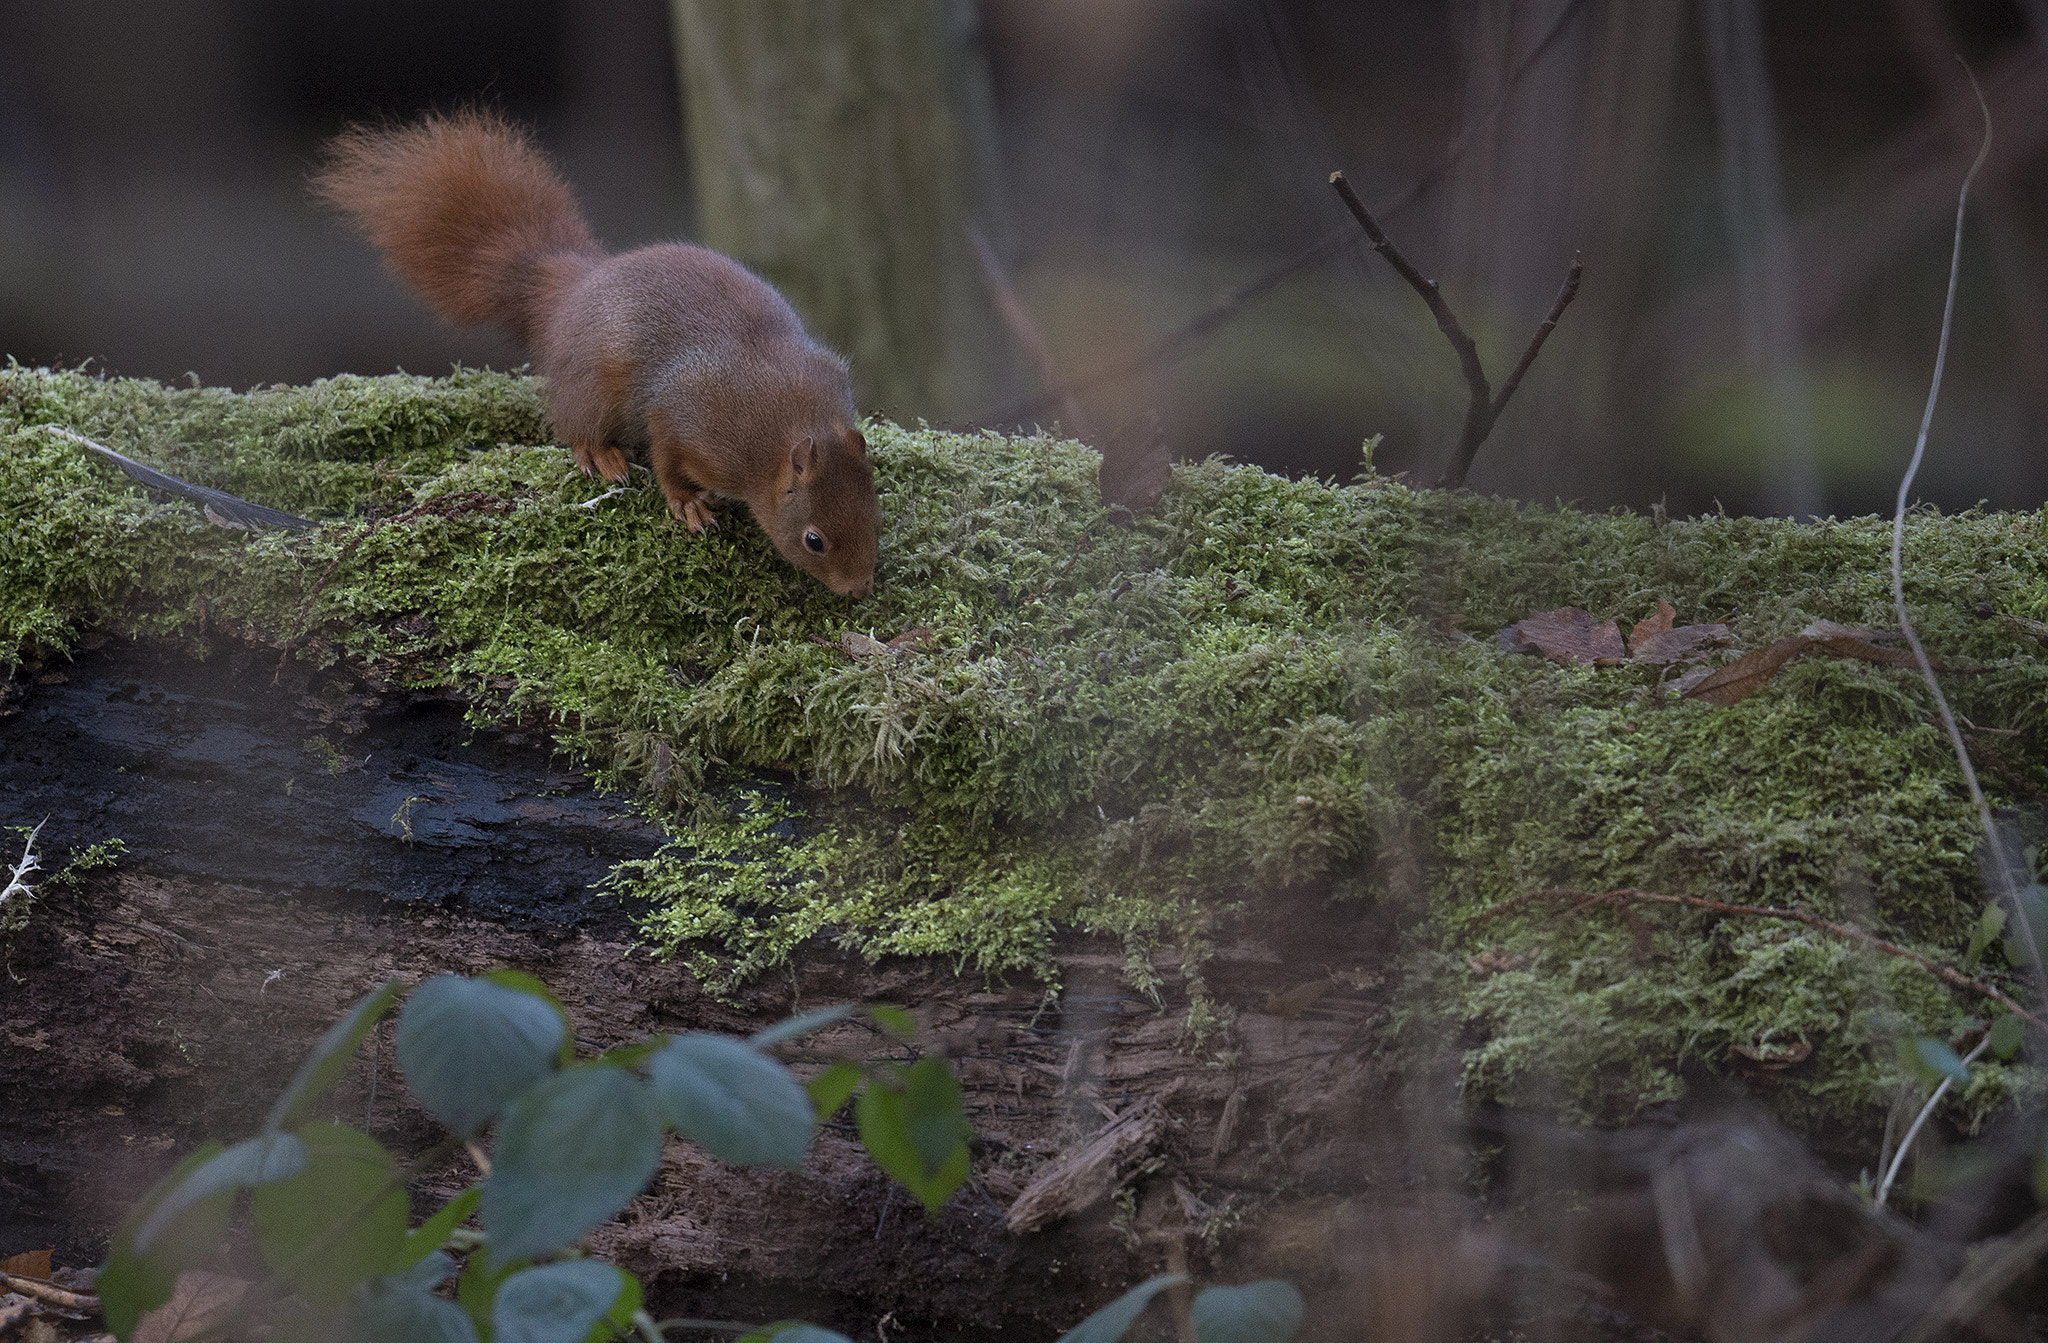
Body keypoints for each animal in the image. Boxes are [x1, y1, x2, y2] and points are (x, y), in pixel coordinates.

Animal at [315, 112, 876, 593]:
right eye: (813, 539)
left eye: (876, 513)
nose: (859, 590)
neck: (789, 424)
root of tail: (574, 290)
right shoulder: (690, 419)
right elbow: (667, 458)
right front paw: (687, 503)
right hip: (594, 386)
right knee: (576, 425)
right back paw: (601, 454)